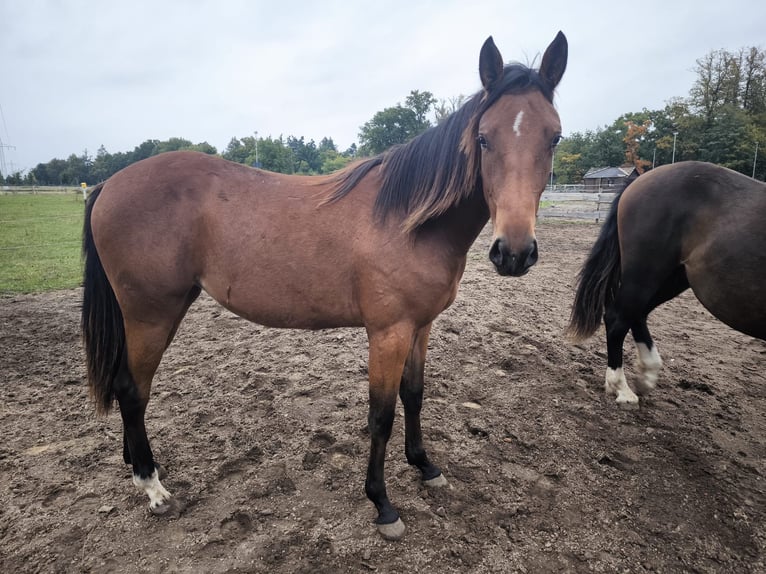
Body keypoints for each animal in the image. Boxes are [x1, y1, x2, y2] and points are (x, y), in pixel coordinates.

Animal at [82, 32, 568, 540]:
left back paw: (137, 464)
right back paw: (152, 487)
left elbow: (414, 395)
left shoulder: (421, 326)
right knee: (132, 389)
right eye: (483, 138)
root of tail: (108, 184)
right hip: (151, 314)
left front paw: (425, 466)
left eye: (554, 136)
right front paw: (382, 504)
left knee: (129, 390)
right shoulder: (388, 332)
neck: (409, 221)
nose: (514, 252)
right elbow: (381, 415)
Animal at [568, 161, 766, 406]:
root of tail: (638, 181)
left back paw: (646, 374)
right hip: (647, 272)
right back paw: (622, 388)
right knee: (618, 317)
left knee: (636, 314)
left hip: (673, 277)